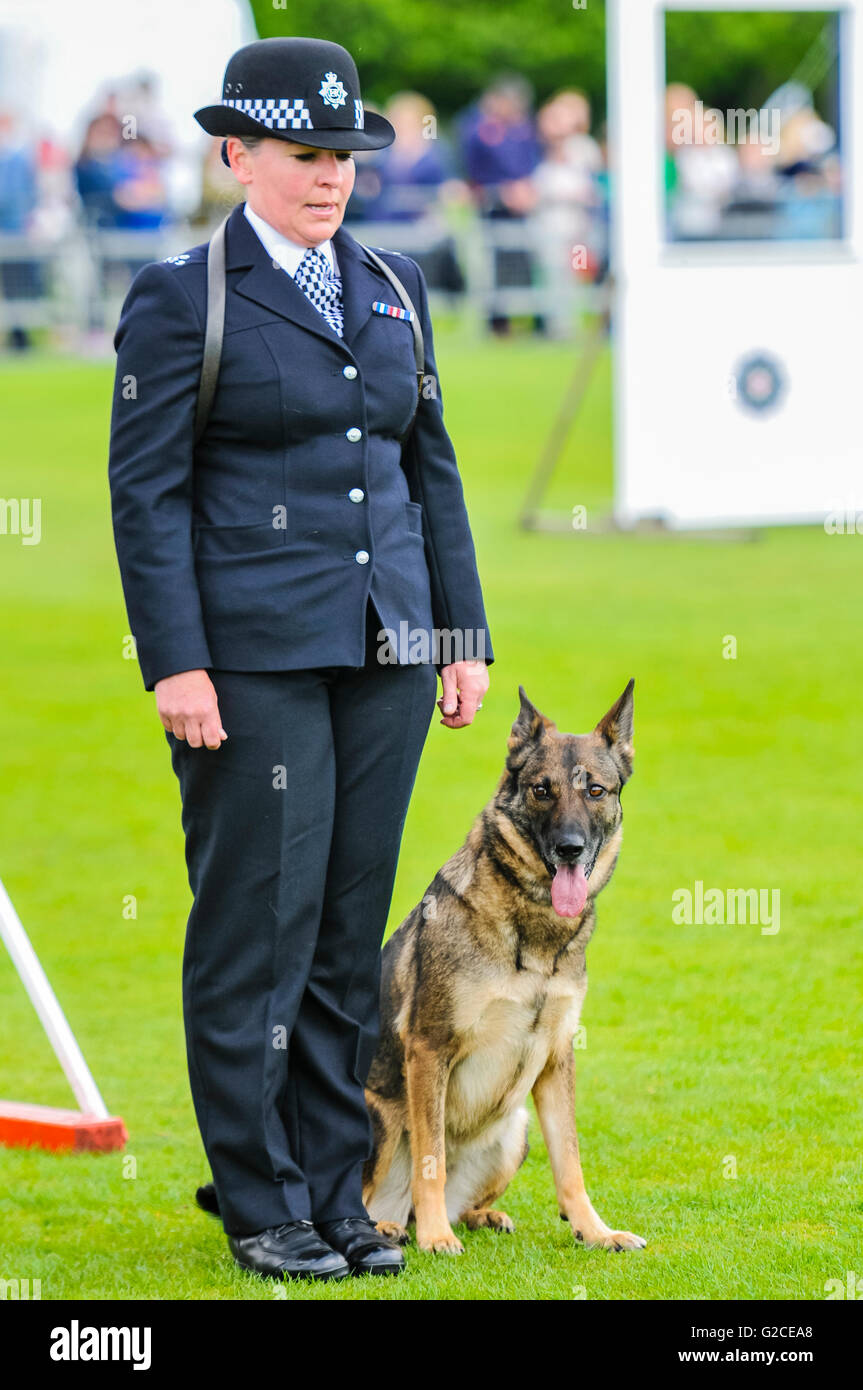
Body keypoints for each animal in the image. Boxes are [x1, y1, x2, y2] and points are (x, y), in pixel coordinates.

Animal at [361, 678, 642, 1256]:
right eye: (541, 790)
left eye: (595, 791)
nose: (569, 849)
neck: (531, 930)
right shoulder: (429, 1048)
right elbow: (431, 1159)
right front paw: (436, 1238)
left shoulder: (557, 1057)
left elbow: (571, 1164)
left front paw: (594, 1231)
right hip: (378, 1119)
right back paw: (392, 1228)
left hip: (515, 1129)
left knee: (460, 1199)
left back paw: (474, 1216)